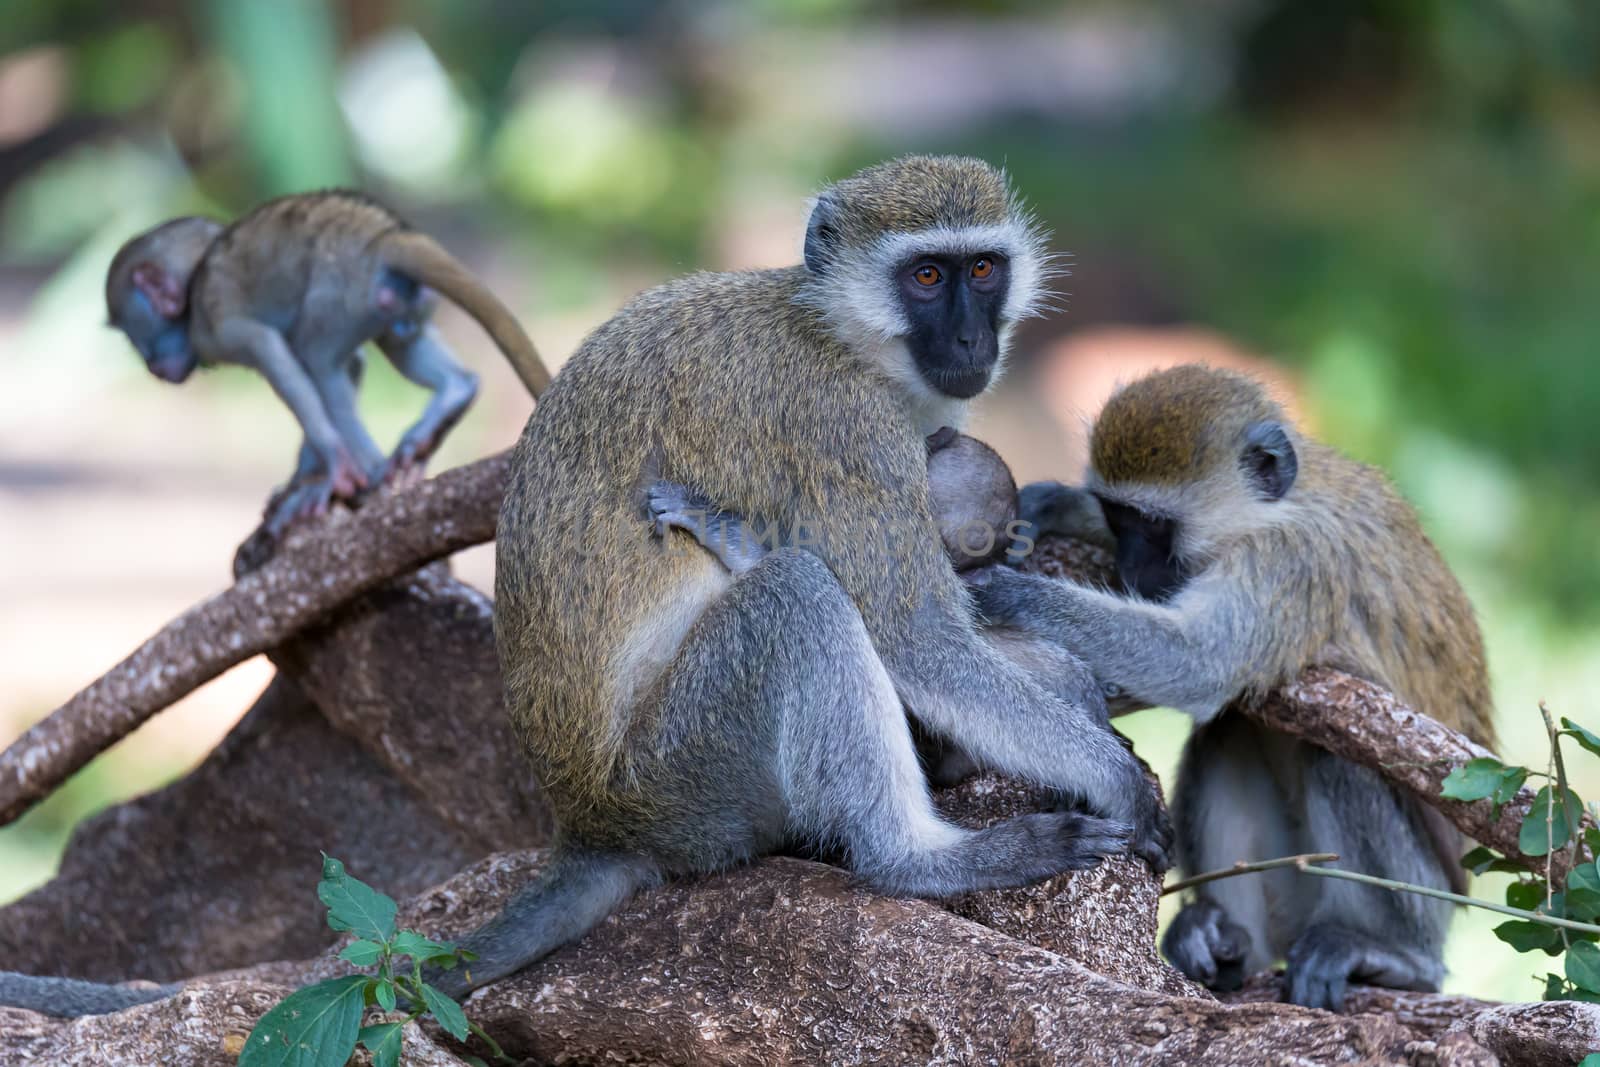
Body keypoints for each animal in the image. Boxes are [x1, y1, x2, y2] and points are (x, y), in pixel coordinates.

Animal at [103, 191, 550, 534]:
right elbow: (352, 364)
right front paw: (306, 473)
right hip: (403, 301)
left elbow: (275, 350)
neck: (196, 278)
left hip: (344, 291)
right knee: (397, 341)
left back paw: (368, 469)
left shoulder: (212, 327)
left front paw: (331, 466)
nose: (150, 365)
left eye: (131, 334)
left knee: (314, 355)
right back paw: (456, 391)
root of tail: (381, 236)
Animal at [960, 364, 1497, 1011]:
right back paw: (1218, 937)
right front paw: (1057, 504)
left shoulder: (1291, 563)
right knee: (1228, 734)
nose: (1135, 570)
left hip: (1427, 897)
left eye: (1153, 525)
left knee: (1338, 759)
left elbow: (1198, 664)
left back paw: (1395, 955)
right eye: (1118, 518)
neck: (1276, 509)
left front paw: (1012, 593)